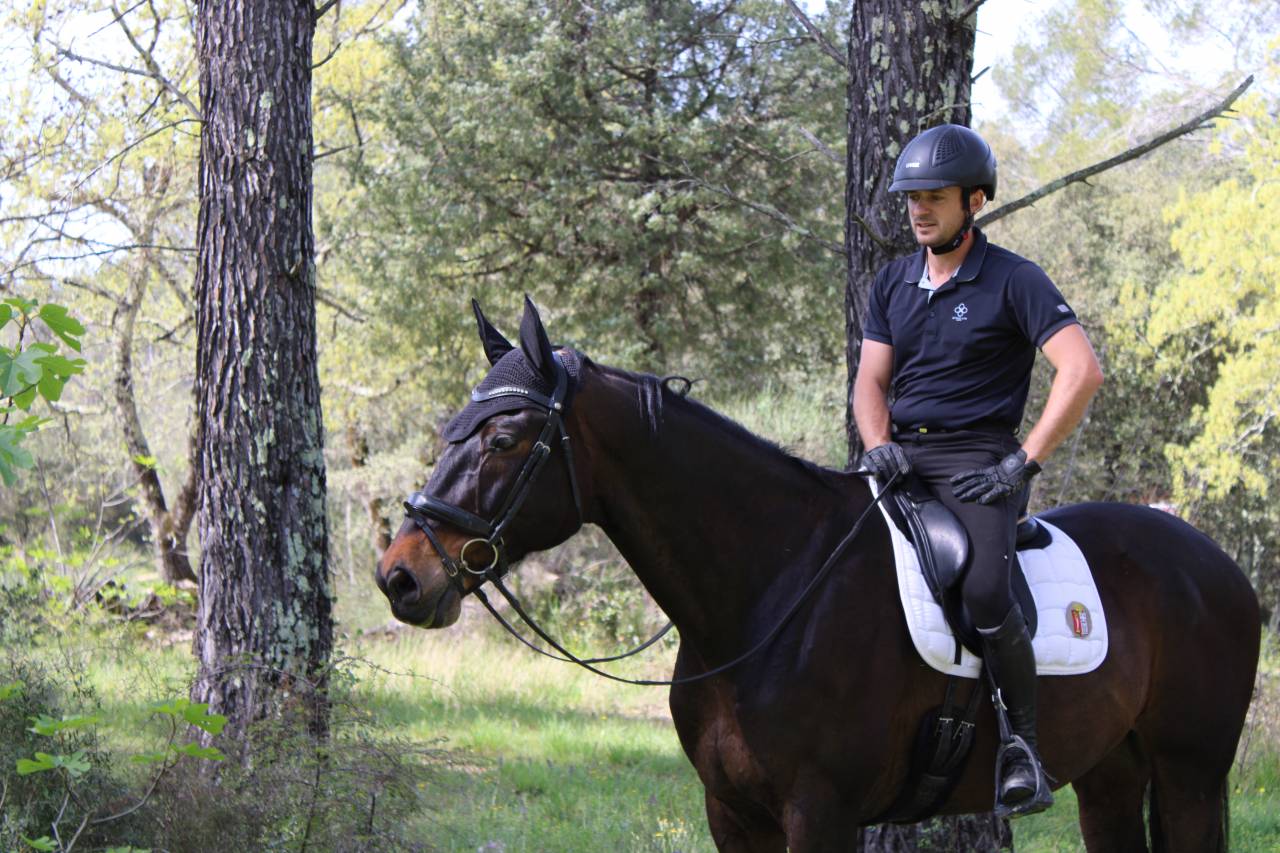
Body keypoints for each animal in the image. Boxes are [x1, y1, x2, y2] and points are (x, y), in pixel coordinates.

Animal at [375, 298, 1260, 852]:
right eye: (456, 427)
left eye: (505, 438)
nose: (401, 575)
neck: (769, 592)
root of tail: (1219, 566)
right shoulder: (733, 815)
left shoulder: (821, 812)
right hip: (1112, 773)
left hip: (1189, 773)